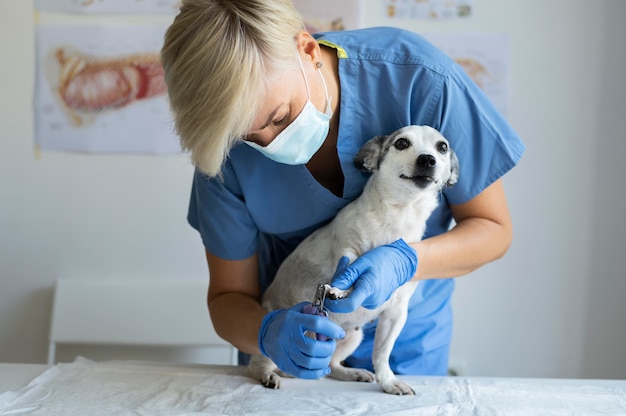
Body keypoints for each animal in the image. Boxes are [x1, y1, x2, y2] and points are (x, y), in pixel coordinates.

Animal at [245, 125, 458, 394]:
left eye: (442, 147)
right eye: (401, 143)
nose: (427, 159)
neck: (400, 215)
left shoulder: (395, 315)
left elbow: (381, 354)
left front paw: (388, 382)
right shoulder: (347, 250)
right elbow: (349, 271)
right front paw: (341, 290)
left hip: (351, 337)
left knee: (331, 365)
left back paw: (351, 372)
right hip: (275, 336)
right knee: (259, 363)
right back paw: (268, 375)